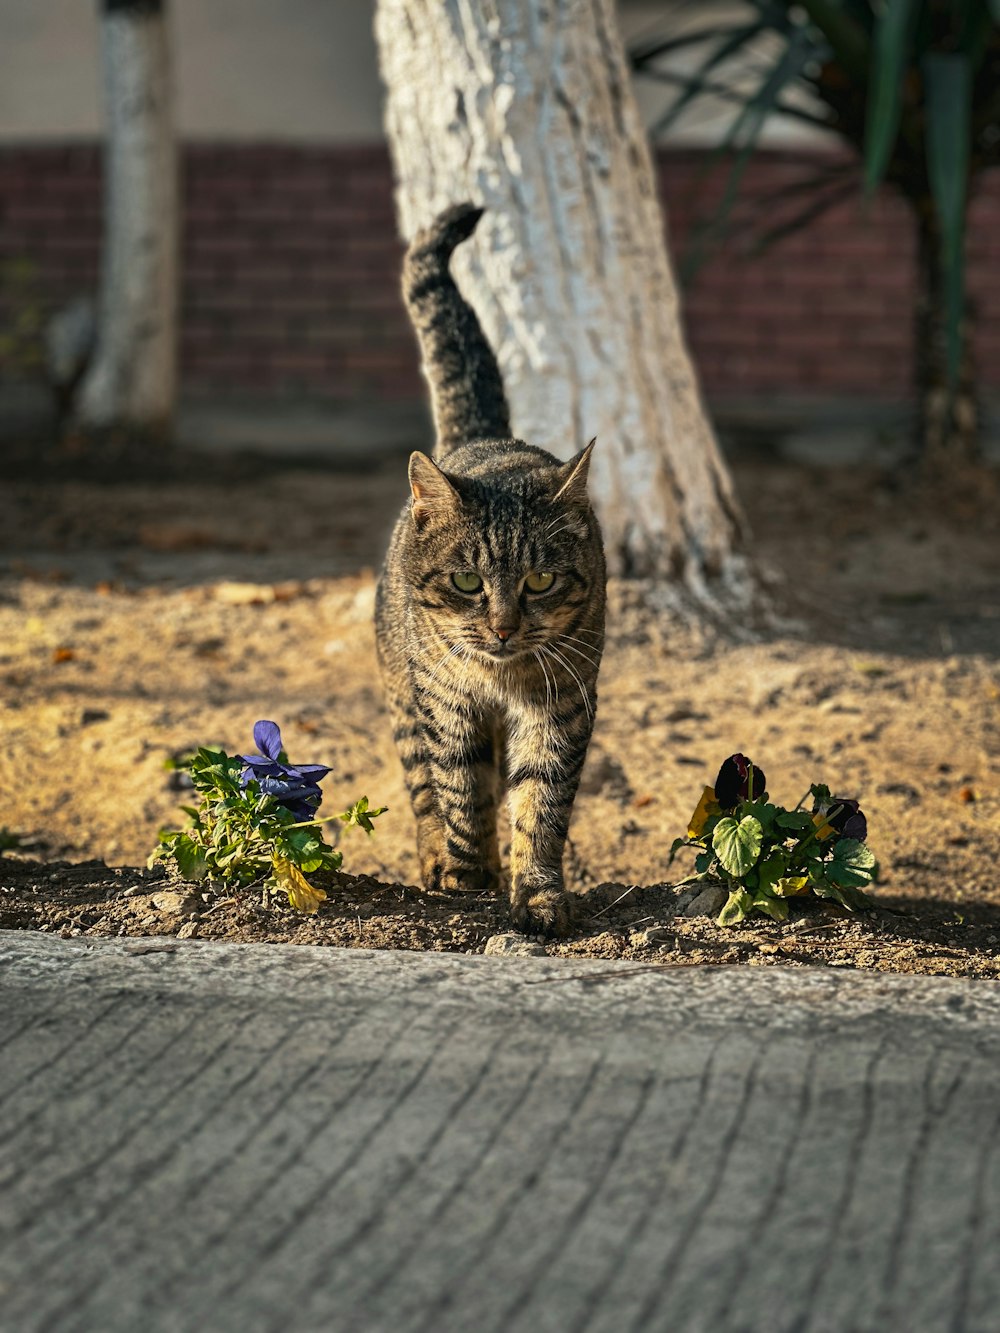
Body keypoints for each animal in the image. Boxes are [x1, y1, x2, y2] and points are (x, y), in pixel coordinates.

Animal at [376, 205, 608, 938]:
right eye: (466, 582)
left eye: (540, 581)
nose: (504, 628)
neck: (501, 678)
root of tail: (483, 438)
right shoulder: (448, 703)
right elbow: (462, 789)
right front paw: (467, 875)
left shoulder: (562, 703)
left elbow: (540, 800)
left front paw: (536, 892)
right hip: (404, 696)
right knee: (424, 787)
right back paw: (438, 861)